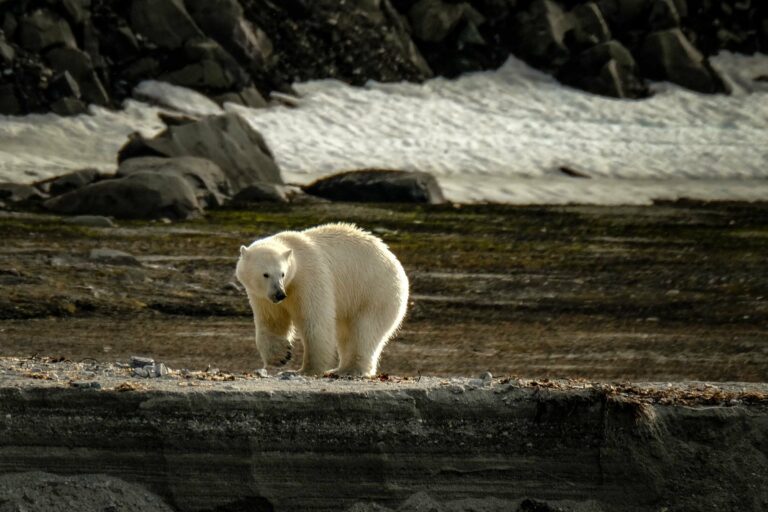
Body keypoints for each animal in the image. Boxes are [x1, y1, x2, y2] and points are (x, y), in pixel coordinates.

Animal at [235, 223, 409, 377]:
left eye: (282, 273)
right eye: (265, 274)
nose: (279, 294)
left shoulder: (309, 277)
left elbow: (315, 320)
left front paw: (307, 369)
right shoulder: (263, 296)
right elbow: (272, 320)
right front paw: (281, 356)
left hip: (375, 291)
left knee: (365, 330)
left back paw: (350, 369)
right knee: (346, 333)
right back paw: (340, 368)